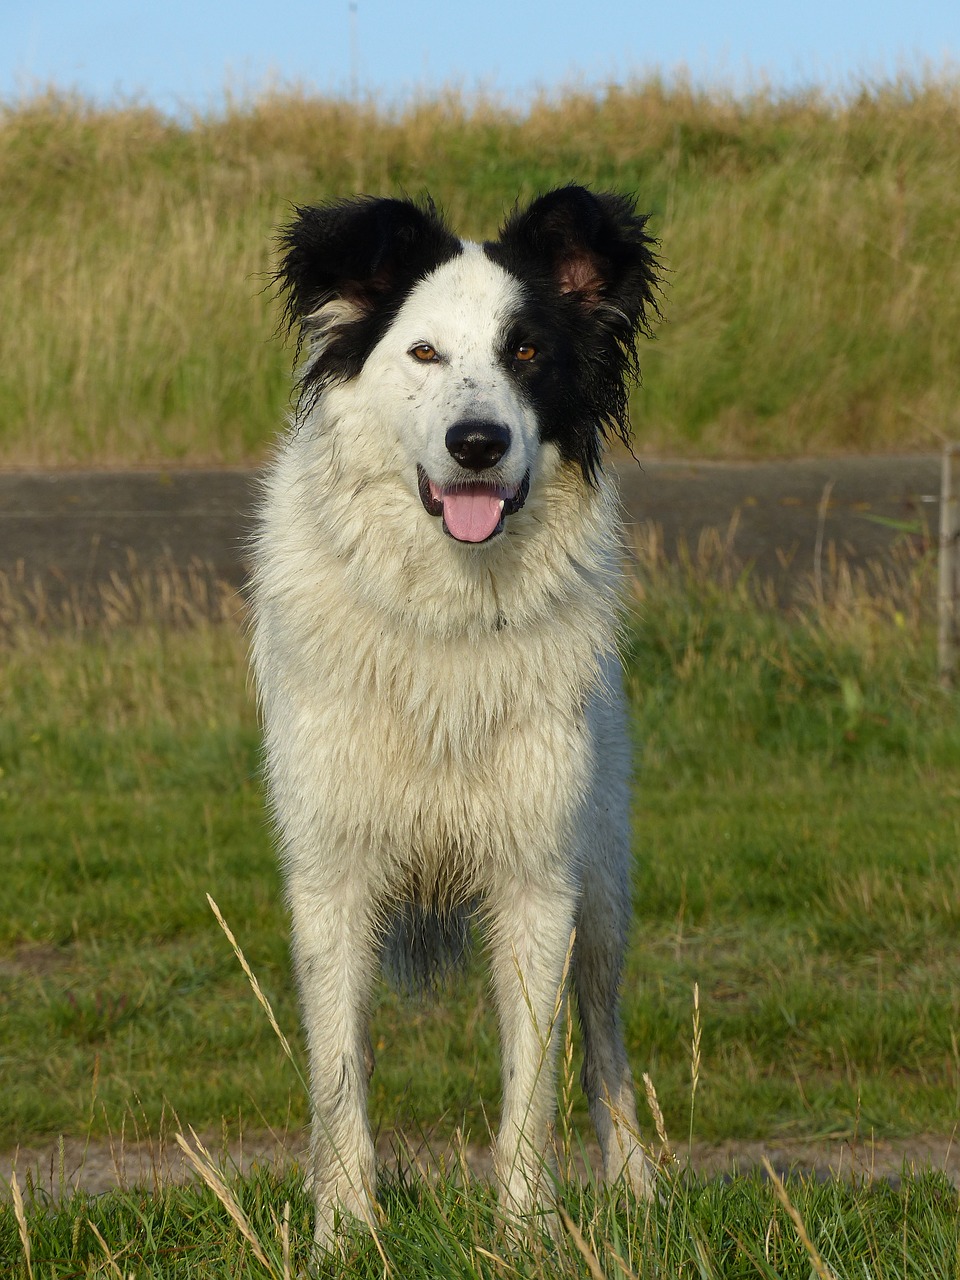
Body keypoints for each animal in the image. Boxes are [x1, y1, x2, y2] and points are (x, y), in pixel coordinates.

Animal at [249, 185, 660, 1244]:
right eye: (424, 353)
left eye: (528, 352)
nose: (478, 443)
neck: (449, 611)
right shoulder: (332, 873)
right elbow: (339, 1072)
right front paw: (344, 1232)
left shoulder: (538, 879)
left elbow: (533, 1080)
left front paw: (527, 1232)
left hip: (604, 880)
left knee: (604, 1036)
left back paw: (639, 1187)